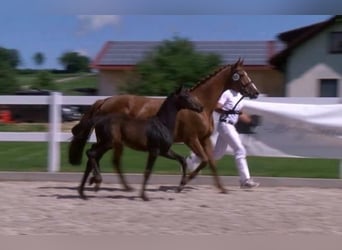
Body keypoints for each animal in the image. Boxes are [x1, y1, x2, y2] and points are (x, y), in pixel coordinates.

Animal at [69, 59, 260, 193]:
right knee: (102, 157)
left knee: (96, 155)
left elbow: (211, 162)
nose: (255, 92)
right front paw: (183, 183)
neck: (201, 106)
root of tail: (104, 101)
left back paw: (94, 183)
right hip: (112, 141)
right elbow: (204, 160)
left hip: (109, 141)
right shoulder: (192, 139)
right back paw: (104, 183)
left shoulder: (205, 139)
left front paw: (222, 188)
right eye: (241, 74)